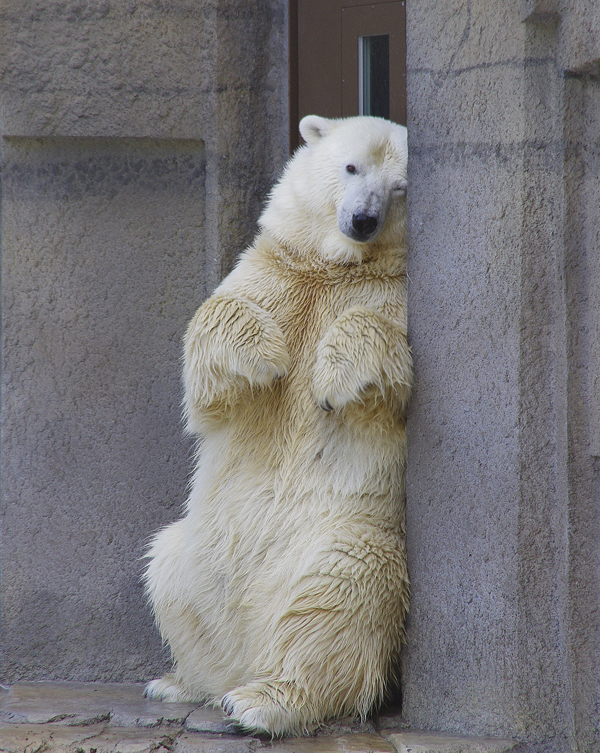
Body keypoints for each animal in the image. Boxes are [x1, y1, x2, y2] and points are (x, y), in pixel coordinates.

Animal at [144, 116, 412, 736]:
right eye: (350, 166)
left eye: (400, 190)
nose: (362, 220)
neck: (335, 268)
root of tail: (249, 647)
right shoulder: (274, 273)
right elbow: (212, 348)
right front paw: (265, 359)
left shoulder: (398, 299)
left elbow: (385, 352)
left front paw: (332, 381)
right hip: (193, 554)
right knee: (165, 570)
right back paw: (181, 680)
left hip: (345, 542)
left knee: (335, 604)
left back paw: (261, 700)